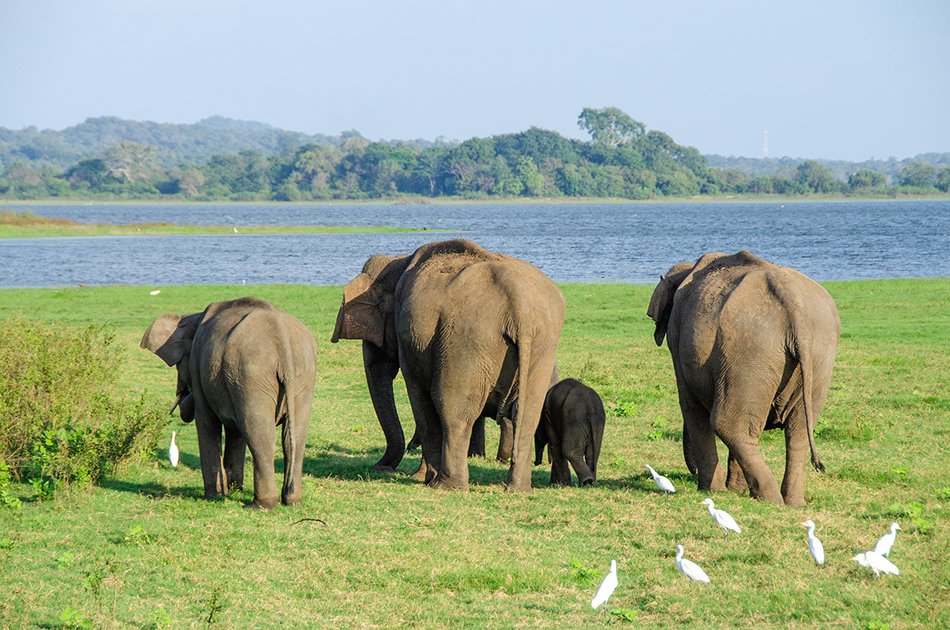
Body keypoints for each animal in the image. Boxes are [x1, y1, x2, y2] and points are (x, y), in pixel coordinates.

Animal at [141, 298, 318, 512]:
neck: (193, 317)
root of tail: (282, 336)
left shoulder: (199, 367)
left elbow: (207, 423)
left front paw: (213, 495)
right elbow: (236, 433)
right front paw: (234, 490)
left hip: (251, 376)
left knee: (260, 434)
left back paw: (260, 505)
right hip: (301, 376)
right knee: (294, 436)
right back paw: (292, 500)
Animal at [332, 239, 564, 492]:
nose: (380, 468)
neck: (398, 260)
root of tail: (520, 306)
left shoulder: (409, 342)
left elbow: (420, 399)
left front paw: (421, 477)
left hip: (466, 341)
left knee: (452, 410)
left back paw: (446, 485)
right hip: (541, 346)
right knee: (527, 413)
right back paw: (518, 489)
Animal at [648, 252, 840, 508]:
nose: (692, 471)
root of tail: (792, 300)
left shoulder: (677, 342)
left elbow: (690, 406)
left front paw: (712, 490)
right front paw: (734, 489)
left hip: (749, 349)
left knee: (727, 423)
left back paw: (769, 499)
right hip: (816, 354)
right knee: (796, 430)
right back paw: (792, 502)